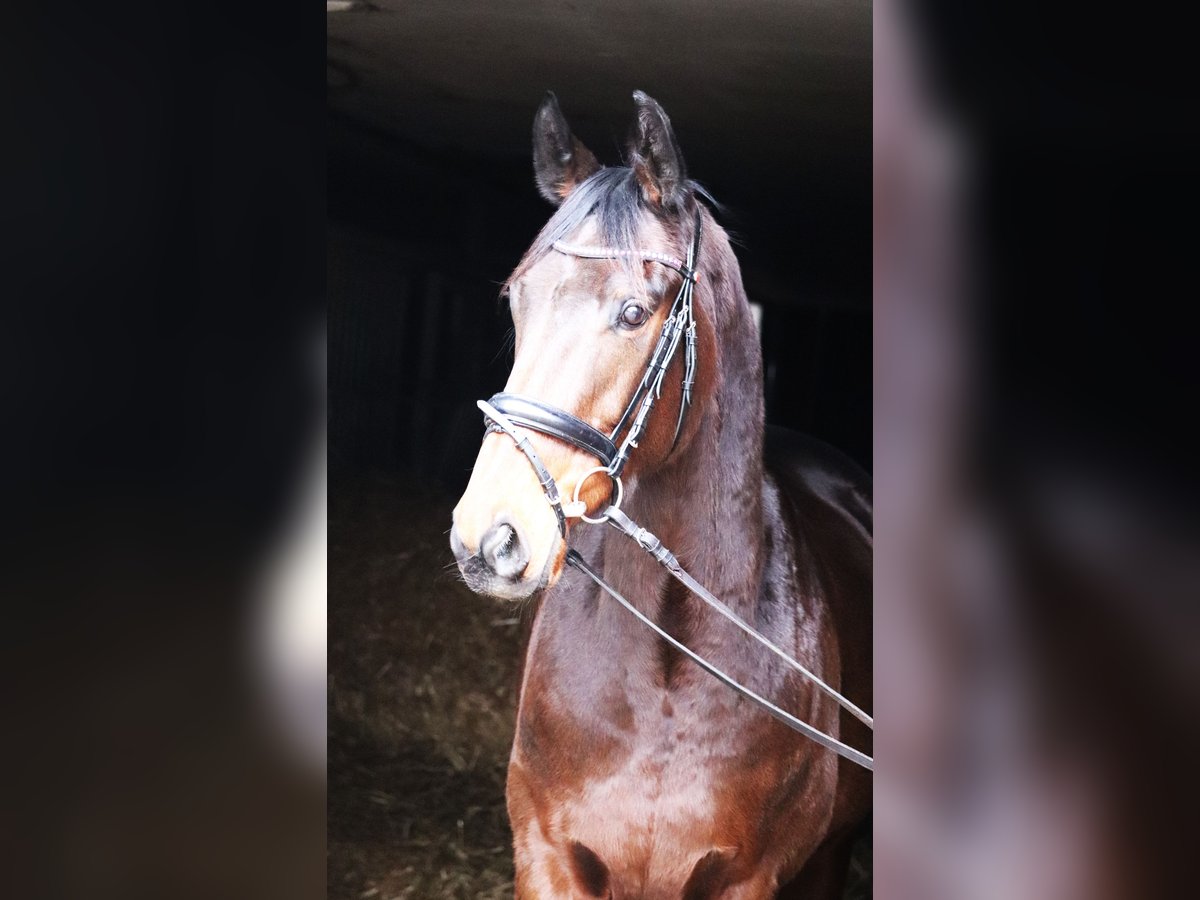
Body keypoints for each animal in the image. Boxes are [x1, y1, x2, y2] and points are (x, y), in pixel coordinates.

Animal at [451, 93, 873, 900]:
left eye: (633, 312)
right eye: (517, 302)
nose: (489, 538)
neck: (664, 678)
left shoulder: (748, 878)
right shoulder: (548, 858)